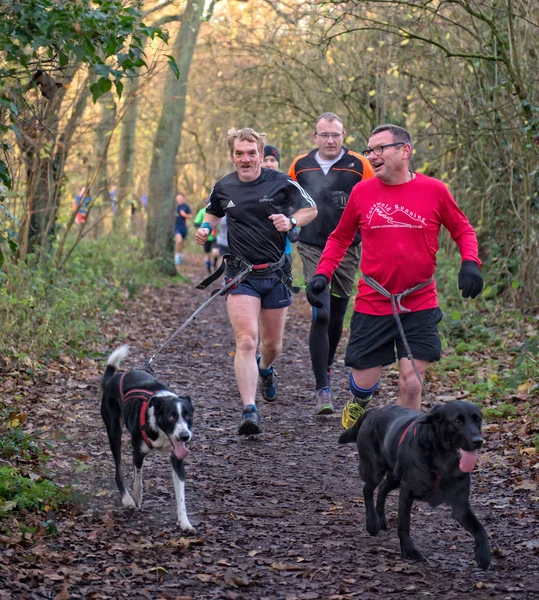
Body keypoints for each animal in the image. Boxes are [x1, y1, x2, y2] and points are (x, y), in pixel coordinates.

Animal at [100, 344, 195, 532]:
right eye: (171, 417)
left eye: (188, 416)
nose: (184, 436)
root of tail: (111, 380)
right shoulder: (137, 453)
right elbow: (138, 480)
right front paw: (136, 498)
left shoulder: (177, 458)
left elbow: (180, 495)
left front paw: (184, 522)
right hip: (114, 433)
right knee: (118, 471)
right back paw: (127, 499)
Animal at [340, 400, 492, 568]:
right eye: (458, 420)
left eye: (477, 419)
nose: (478, 441)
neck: (443, 460)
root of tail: (373, 411)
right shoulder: (407, 493)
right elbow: (404, 524)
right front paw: (408, 549)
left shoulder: (461, 505)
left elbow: (480, 529)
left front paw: (484, 555)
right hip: (374, 470)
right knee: (367, 490)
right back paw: (372, 522)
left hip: (395, 476)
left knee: (382, 489)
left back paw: (381, 517)